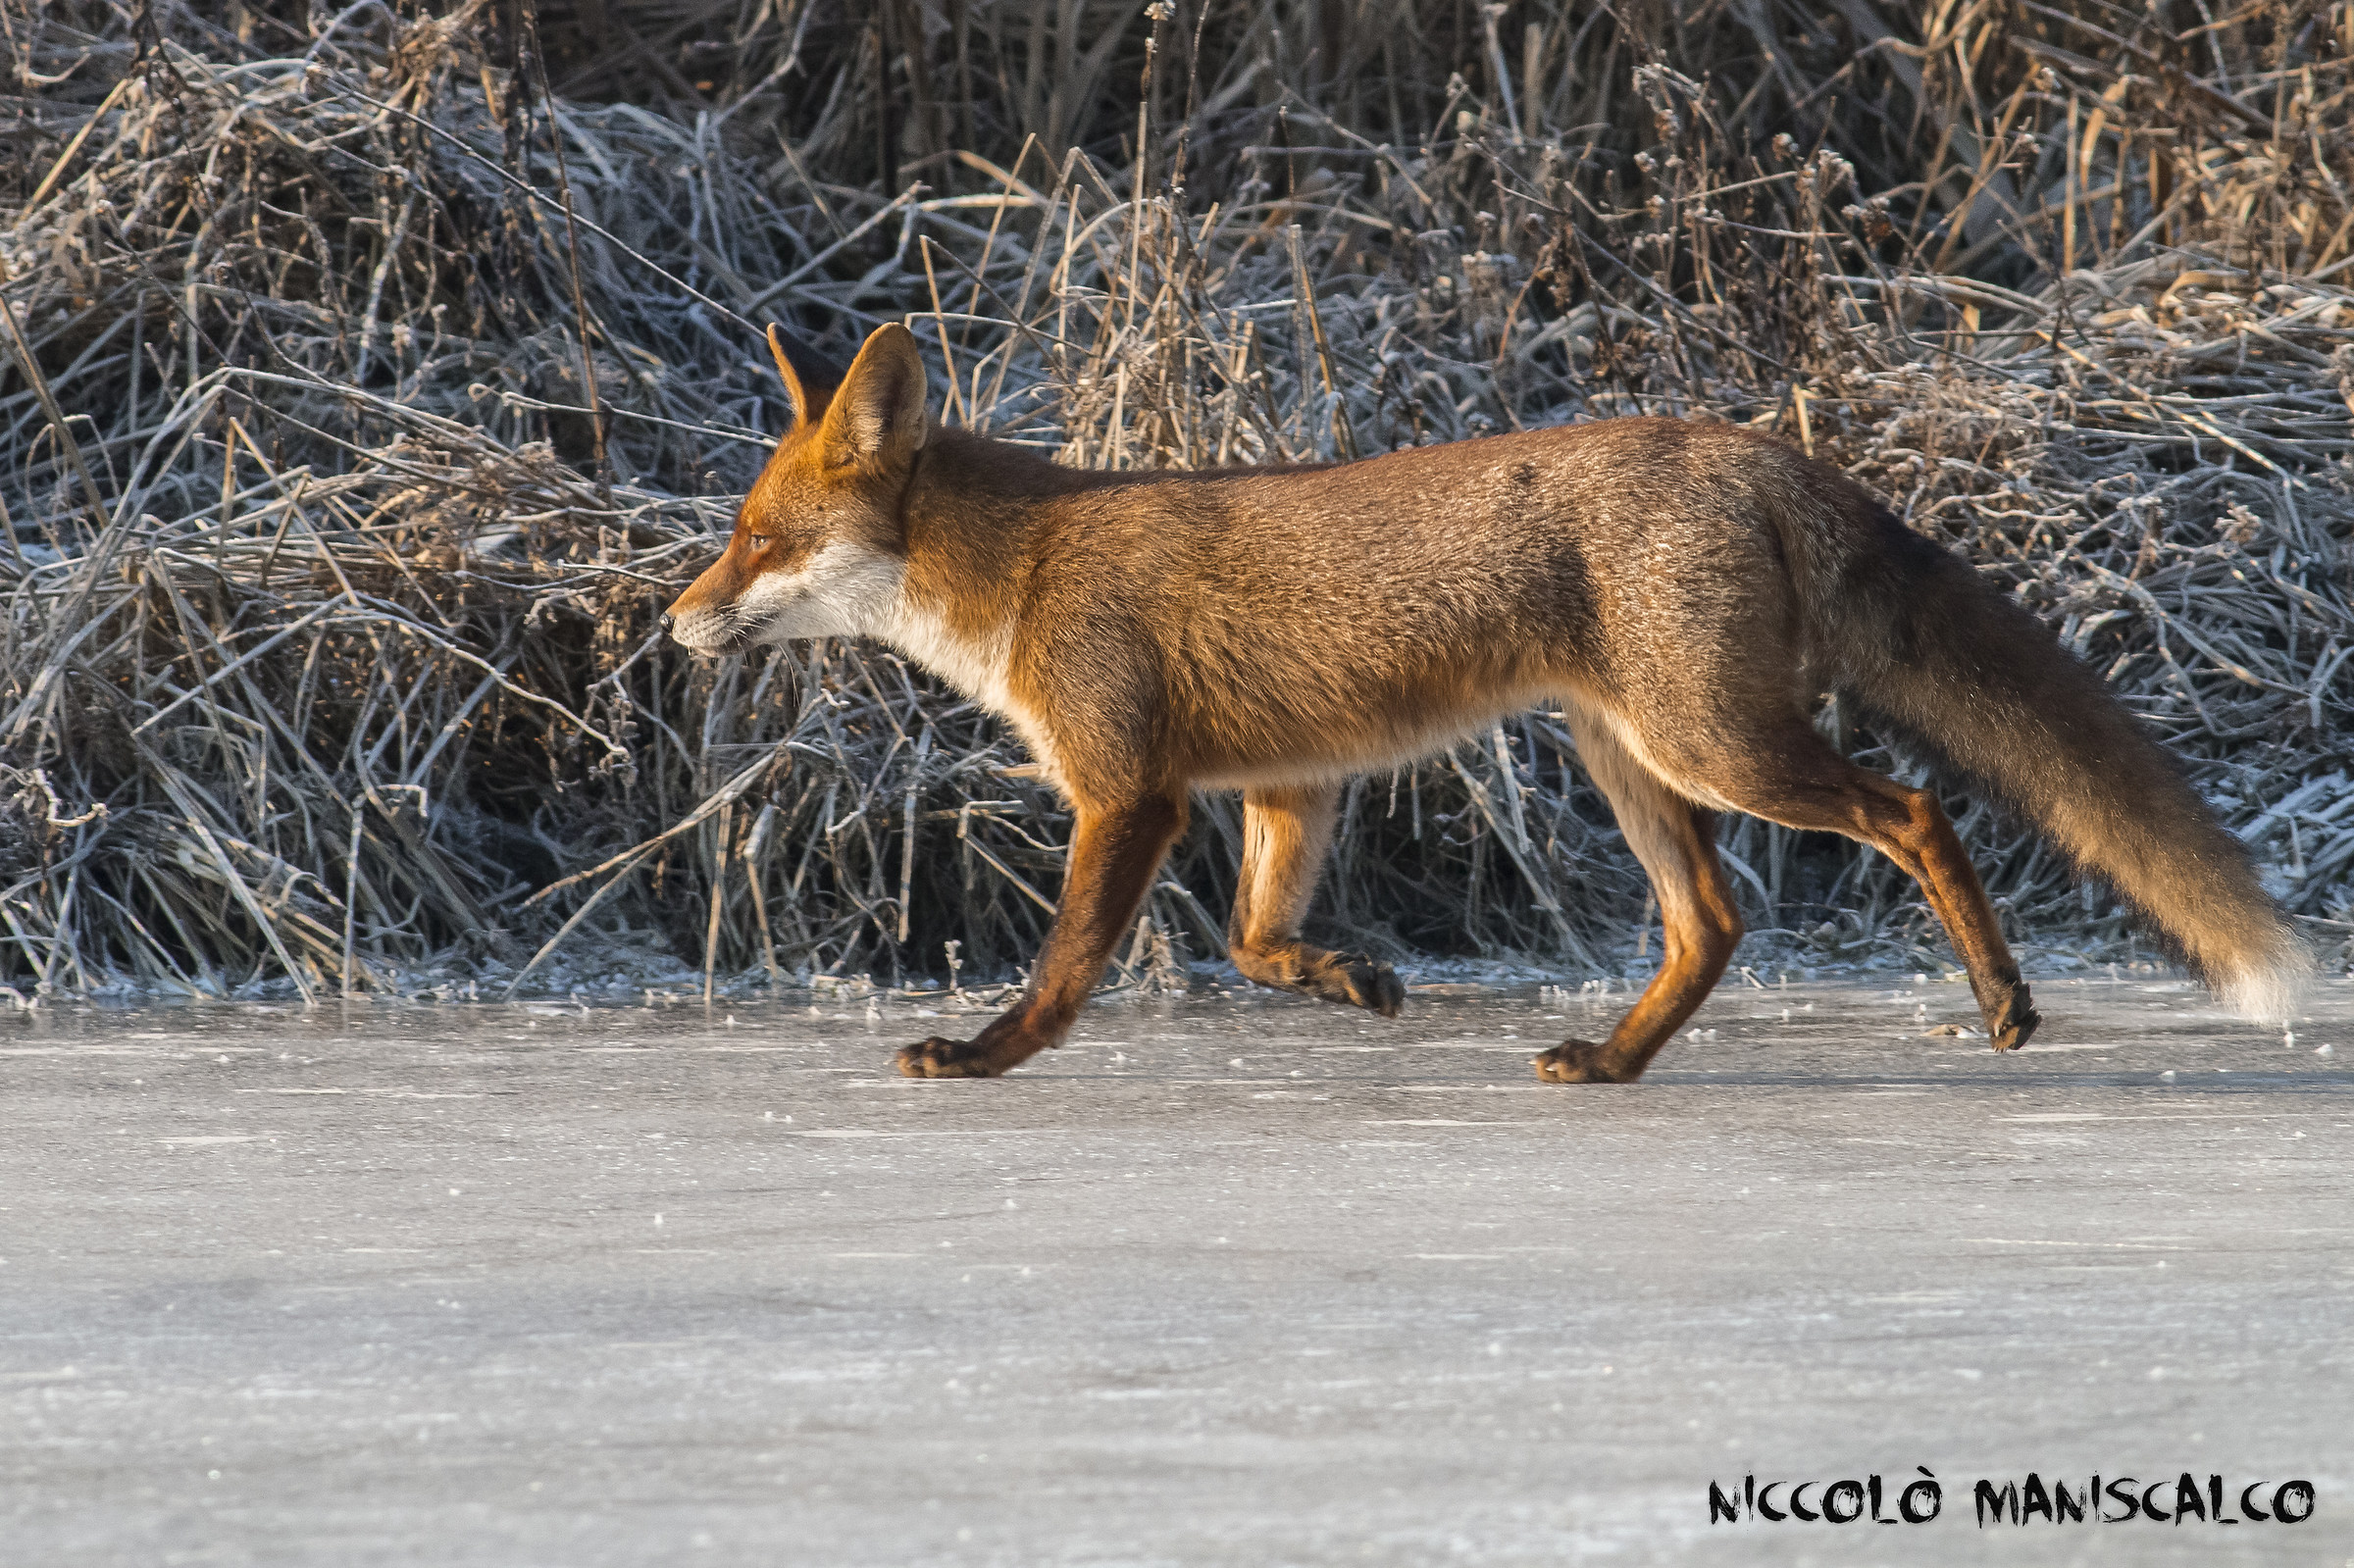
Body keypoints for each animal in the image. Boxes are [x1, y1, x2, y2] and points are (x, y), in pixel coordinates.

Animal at [663, 321, 2306, 1083]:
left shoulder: (1128, 788)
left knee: (1909, 808)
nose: (672, 623)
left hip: (1715, 747)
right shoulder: (1290, 783)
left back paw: (2003, 999)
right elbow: (1253, 942)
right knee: (1714, 921)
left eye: (757, 537)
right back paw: (1618, 1063)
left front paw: (984, 1053)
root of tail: (1759, 446)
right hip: (1630, 756)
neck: (1025, 574)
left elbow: (1067, 971)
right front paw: (1353, 982)